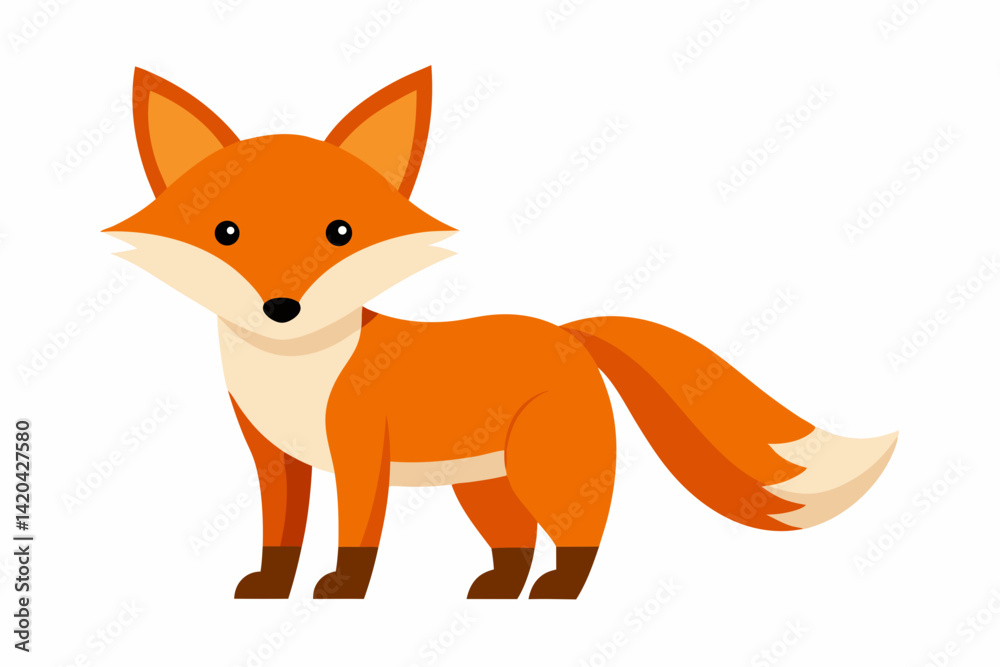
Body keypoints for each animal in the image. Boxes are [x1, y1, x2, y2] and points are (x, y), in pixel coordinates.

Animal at [105, 66, 898, 600]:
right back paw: (498, 589)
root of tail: (568, 332)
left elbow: (356, 536)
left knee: (580, 533)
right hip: (484, 485)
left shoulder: (360, 454)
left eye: (339, 233)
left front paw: (343, 591)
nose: (281, 306)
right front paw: (273, 589)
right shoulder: (273, 456)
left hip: (548, 469)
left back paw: (561, 592)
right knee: (515, 542)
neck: (294, 373)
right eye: (225, 232)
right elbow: (280, 535)